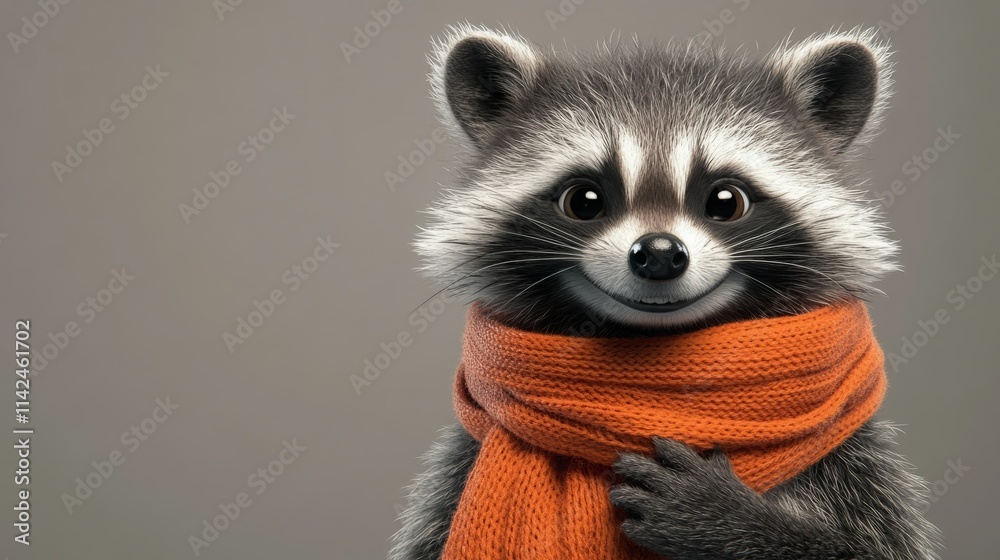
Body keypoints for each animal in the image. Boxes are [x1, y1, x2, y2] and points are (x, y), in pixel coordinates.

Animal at [389, 24, 941, 560]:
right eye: (584, 200)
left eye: (725, 200)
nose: (658, 253)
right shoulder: (455, 473)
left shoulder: (854, 465)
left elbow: (877, 548)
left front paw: (726, 519)